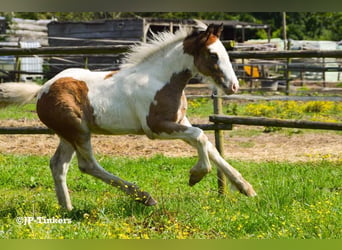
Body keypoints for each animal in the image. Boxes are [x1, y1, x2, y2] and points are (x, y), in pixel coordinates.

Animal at [0, 23, 255, 211]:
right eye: (213, 55)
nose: (233, 86)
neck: (161, 79)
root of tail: (42, 89)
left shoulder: (180, 122)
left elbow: (210, 147)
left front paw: (245, 187)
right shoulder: (156, 127)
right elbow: (201, 136)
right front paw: (196, 175)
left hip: (67, 135)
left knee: (58, 165)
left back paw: (68, 209)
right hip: (78, 131)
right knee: (87, 165)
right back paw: (145, 197)